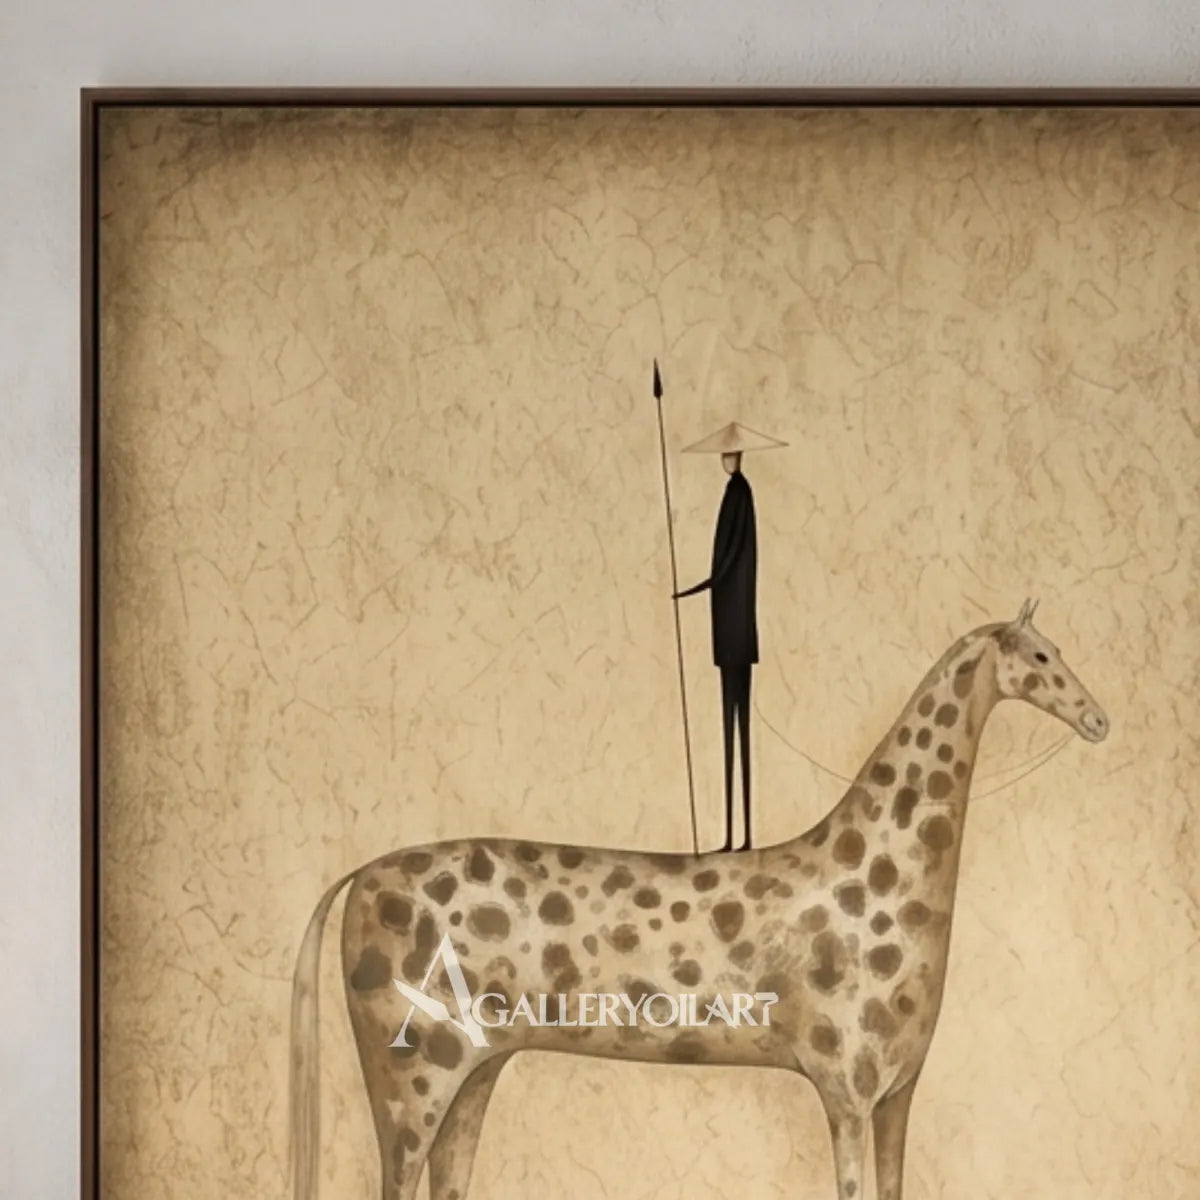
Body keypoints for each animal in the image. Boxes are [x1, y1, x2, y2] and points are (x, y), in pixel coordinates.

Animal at [289, 601, 1108, 1200]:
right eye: (1041, 657)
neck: (879, 871)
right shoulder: (848, 1090)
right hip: (412, 1080)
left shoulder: (899, 1094)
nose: (1099, 718)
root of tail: (359, 875)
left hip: (473, 1076)